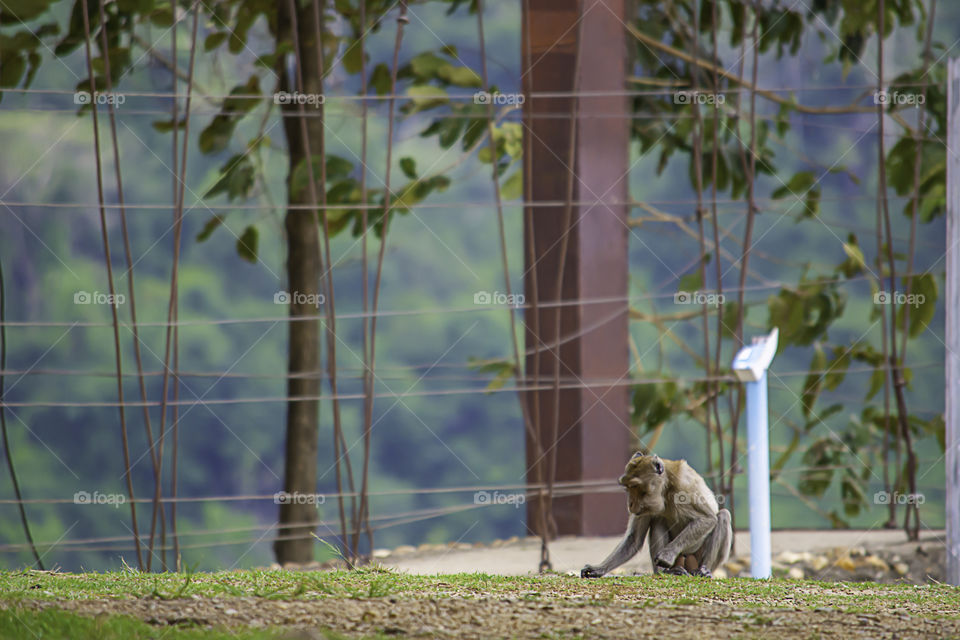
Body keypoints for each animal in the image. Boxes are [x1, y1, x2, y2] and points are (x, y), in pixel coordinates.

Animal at [580, 450, 732, 580]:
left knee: (723, 516)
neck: (664, 489)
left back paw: (703, 571)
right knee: (658, 521)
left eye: (634, 486)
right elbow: (634, 539)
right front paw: (598, 569)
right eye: (627, 486)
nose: (630, 504)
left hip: (697, 557)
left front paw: (667, 555)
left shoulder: (684, 486)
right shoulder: (644, 507)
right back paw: (667, 572)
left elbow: (707, 518)